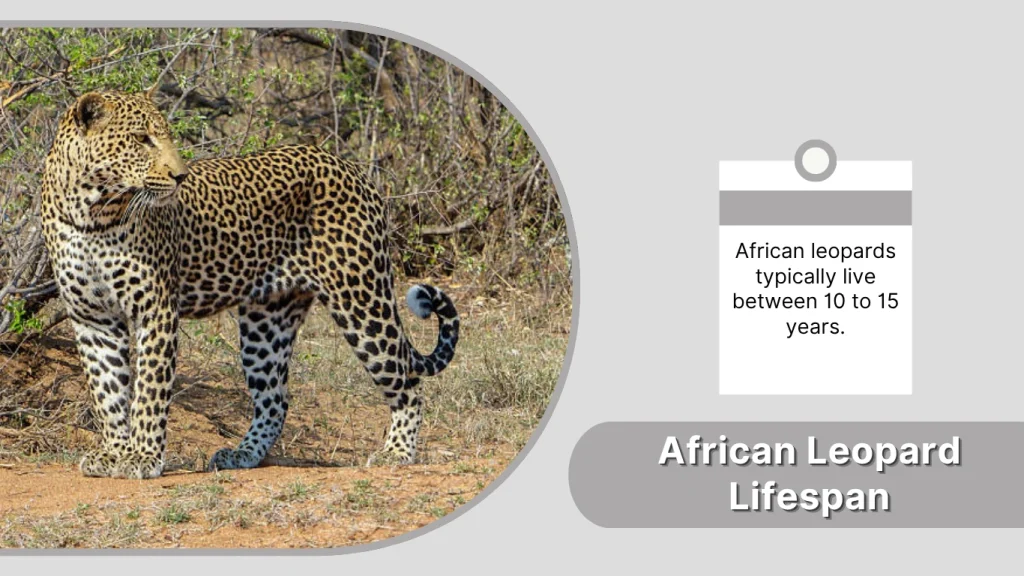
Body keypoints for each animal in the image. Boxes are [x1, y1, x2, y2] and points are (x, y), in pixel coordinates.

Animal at [38, 88, 460, 479]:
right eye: (141, 138)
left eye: (165, 135)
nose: (180, 176)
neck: (92, 212)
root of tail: (351, 167)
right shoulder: (92, 319)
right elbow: (107, 392)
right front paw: (114, 453)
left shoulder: (154, 309)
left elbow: (149, 392)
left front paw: (142, 456)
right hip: (267, 321)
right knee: (276, 399)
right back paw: (242, 455)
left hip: (360, 297)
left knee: (408, 383)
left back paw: (397, 452)